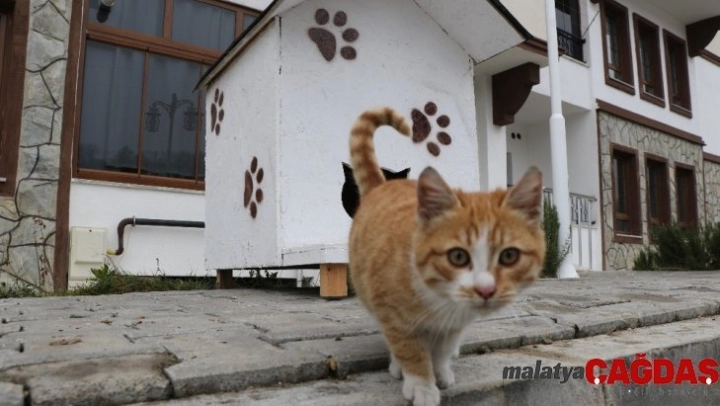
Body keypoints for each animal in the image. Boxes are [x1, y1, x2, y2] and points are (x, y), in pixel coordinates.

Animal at [347, 107, 545, 406]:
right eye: (458, 257)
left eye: (509, 256)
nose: (485, 290)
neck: (441, 300)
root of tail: (381, 186)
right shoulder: (389, 310)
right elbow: (408, 347)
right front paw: (421, 384)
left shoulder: (456, 323)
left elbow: (443, 346)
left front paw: (440, 370)